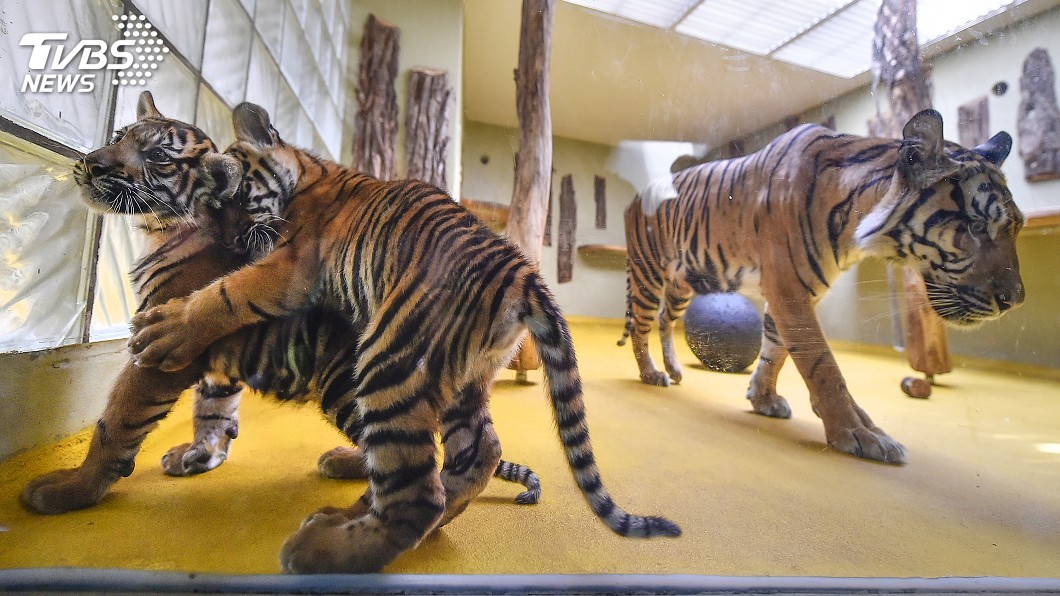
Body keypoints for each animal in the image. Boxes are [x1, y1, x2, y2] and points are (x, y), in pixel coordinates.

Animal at [22, 91, 540, 517]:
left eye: (157, 156)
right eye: (119, 136)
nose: (91, 163)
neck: (160, 229)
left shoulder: (160, 356)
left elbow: (117, 421)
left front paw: (69, 490)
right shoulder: (215, 365)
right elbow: (213, 409)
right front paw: (200, 455)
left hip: (347, 383)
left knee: (411, 452)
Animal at [127, 101, 681, 573]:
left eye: (232, 196)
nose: (229, 244)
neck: (307, 176)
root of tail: (523, 276)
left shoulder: (288, 268)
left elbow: (225, 294)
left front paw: (167, 329)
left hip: (391, 356)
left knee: (417, 494)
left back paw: (317, 549)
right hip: (464, 377)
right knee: (475, 454)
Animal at [618, 109, 1023, 465]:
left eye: (1016, 228)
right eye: (975, 226)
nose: (1016, 300)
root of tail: (635, 197)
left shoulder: (795, 294)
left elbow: (775, 353)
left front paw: (763, 399)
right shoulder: (789, 291)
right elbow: (822, 364)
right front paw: (859, 433)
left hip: (682, 283)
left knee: (664, 321)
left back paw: (673, 370)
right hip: (648, 273)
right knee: (640, 326)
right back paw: (651, 374)